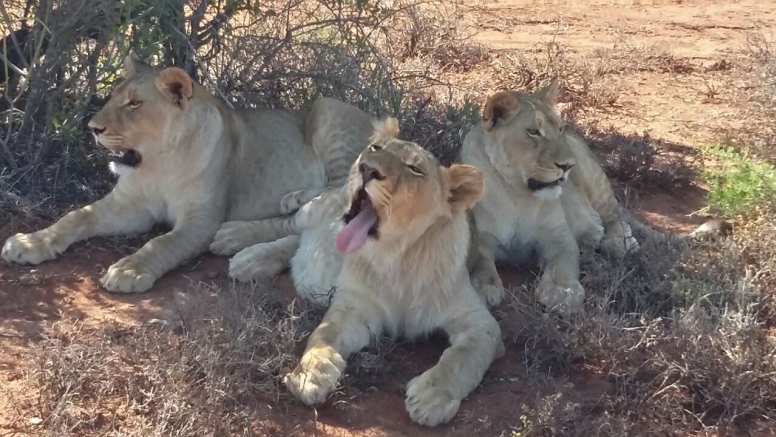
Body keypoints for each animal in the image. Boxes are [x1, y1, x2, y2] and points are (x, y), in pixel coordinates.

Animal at [0, 54, 376, 292]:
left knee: (334, 204)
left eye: (134, 103)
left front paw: (129, 269)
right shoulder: (129, 205)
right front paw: (29, 242)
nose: (92, 128)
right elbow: (76, 216)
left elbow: (161, 242)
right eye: (113, 96)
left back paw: (251, 254)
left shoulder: (201, 221)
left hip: (328, 109)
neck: (160, 162)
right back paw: (283, 206)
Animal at [464, 78, 732, 314]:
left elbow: (563, 265)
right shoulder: (482, 238)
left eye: (559, 128)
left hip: (596, 182)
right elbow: (482, 264)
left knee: (617, 218)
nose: (567, 166)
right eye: (533, 132)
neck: (517, 193)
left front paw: (563, 294)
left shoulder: (558, 236)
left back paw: (615, 243)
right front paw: (484, 289)